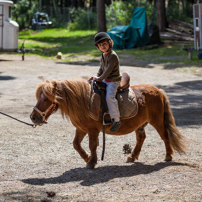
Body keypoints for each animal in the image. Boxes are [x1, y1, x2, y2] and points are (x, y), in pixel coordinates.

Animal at [30, 78, 187, 169]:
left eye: (45, 99)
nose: (33, 117)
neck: (84, 101)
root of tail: (158, 90)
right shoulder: (81, 129)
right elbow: (76, 144)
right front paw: (87, 157)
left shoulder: (92, 130)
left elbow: (92, 145)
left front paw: (91, 162)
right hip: (140, 124)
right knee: (141, 138)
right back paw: (132, 156)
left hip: (157, 121)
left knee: (165, 136)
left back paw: (168, 156)